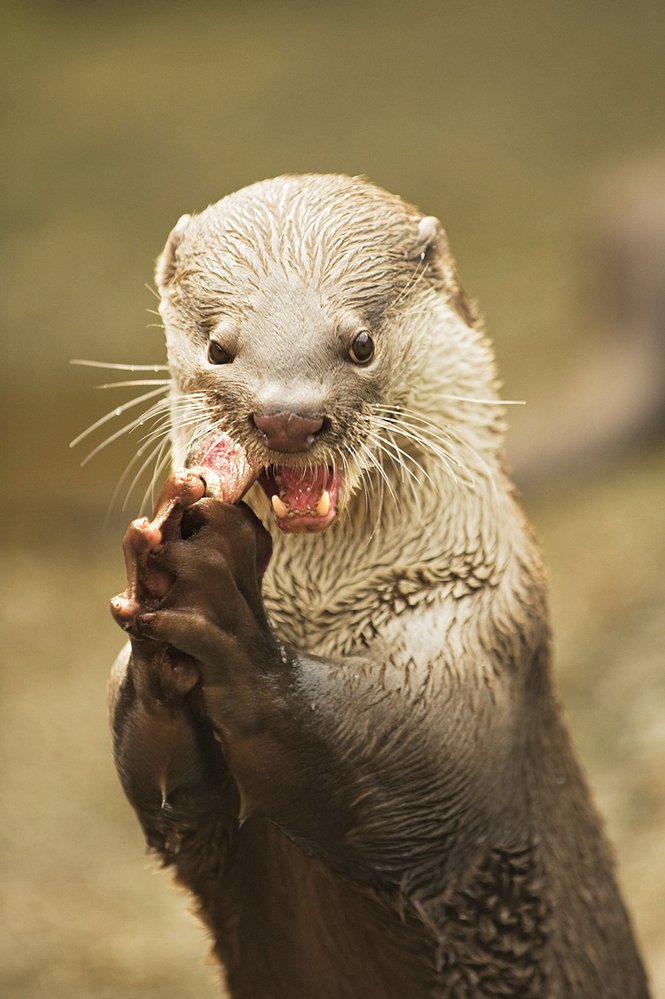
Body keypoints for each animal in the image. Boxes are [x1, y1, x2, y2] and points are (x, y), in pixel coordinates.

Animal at [107, 176, 648, 996]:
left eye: (360, 343)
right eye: (218, 347)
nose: (288, 416)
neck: (319, 617)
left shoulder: (469, 640)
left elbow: (374, 769)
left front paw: (217, 603)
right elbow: (162, 781)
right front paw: (159, 625)